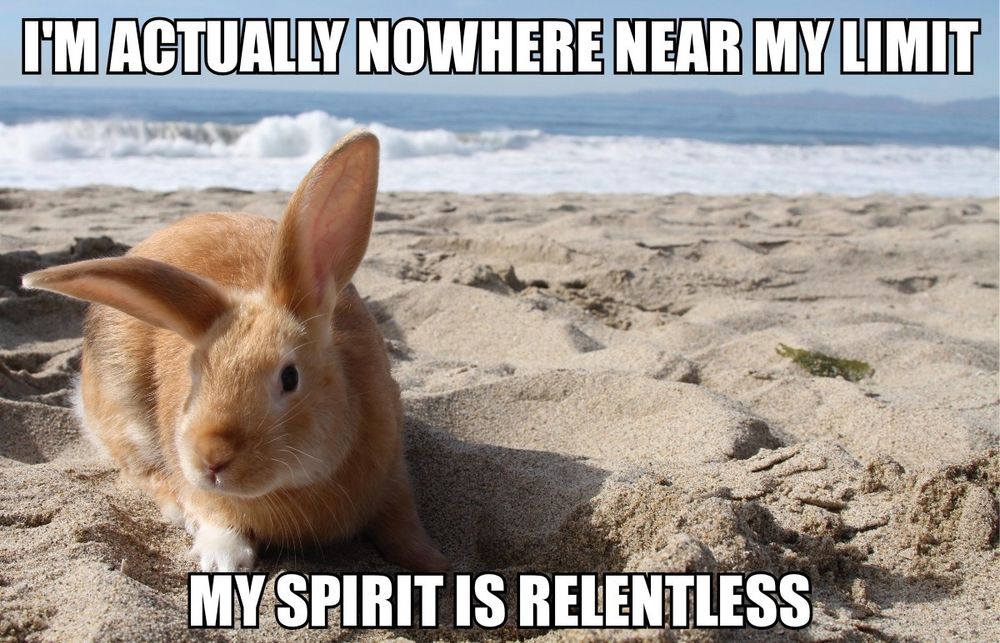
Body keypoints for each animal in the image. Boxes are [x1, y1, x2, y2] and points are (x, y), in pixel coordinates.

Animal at [22, 130, 448, 573]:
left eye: (290, 377)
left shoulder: (393, 477)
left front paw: (437, 563)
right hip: (121, 408)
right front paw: (220, 560)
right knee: (139, 469)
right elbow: (217, 520)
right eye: (194, 372)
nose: (210, 460)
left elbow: (403, 526)